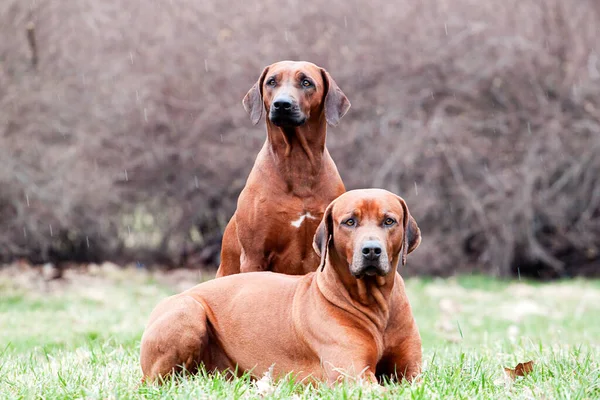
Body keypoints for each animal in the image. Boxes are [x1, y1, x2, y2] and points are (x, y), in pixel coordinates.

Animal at [141, 189, 422, 386]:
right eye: (350, 222)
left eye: (389, 221)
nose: (371, 250)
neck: (375, 302)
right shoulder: (354, 376)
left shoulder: (413, 372)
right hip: (188, 311)